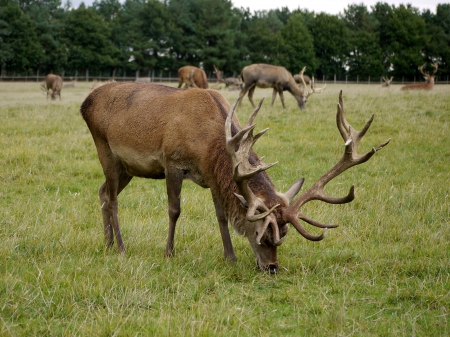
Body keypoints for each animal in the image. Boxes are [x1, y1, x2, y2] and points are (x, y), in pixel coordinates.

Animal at [81, 81, 390, 272]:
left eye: (284, 234)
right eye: (261, 234)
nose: (272, 268)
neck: (208, 145)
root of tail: (86, 102)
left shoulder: (211, 176)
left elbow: (220, 215)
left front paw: (230, 256)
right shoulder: (172, 162)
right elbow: (174, 210)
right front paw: (169, 252)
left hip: (128, 168)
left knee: (103, 192)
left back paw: (107, 243)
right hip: (105, 149)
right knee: (112, 199)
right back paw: (121, 247)